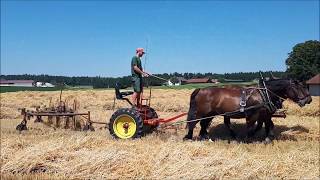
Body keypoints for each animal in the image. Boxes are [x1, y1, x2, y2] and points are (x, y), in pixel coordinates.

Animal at [184, 77, 312, 142]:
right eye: (300, 87)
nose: (309, 100)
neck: (264, 94)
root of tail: (200, 89)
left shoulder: (265, 114)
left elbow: (268, 125)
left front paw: (268, 138)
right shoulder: (253, 114)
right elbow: (251, 127)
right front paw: (248, 139)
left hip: (211, 113)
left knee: (204, 124)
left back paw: (205, 137)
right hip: (201, 112)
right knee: (193, 123)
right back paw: (189, 137)